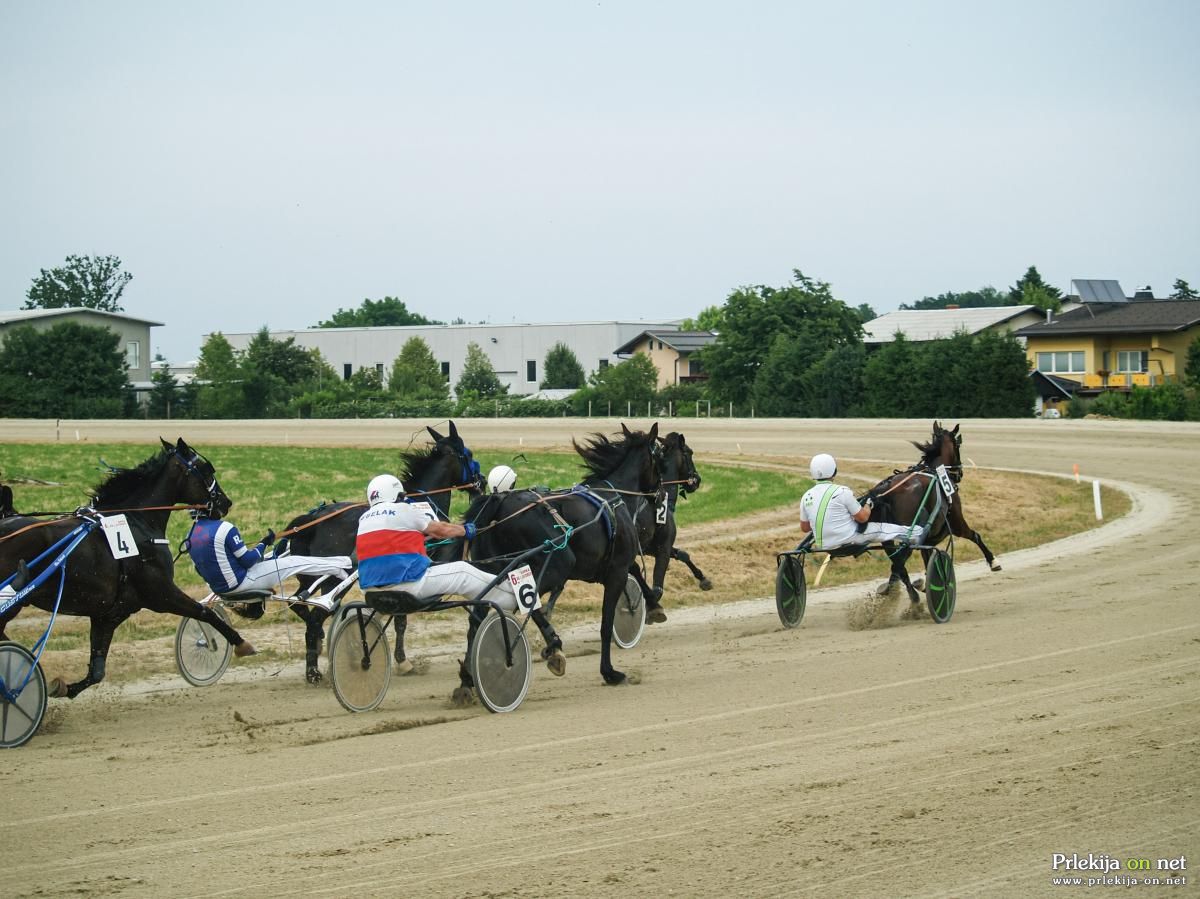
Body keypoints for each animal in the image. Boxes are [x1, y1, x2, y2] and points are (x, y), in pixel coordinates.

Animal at [0, 438, 254, 698]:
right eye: (206, 470)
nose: (225, 502)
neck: (136, 523)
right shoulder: (162, 595)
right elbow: (205, 612)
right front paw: (239, 643)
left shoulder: (109, 614)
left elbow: (96, 671)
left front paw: (63, 688)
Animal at [279, 422, 485, 684]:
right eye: (468, 454)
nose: (482, 481)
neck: (421, 502)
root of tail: (313, 520)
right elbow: (401, 619)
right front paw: (403, 661)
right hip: (334, 580)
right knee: (315, 616)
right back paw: (313, 669)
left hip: (310, 577)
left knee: (298, 604)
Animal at [464, 423, 662, 686]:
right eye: (660, 454)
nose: (659, 493)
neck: (612, 498)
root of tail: (500, 503)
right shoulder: (616, 571)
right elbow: (606, 623)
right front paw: (609, 671)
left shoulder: (607, 566)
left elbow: (636, 571)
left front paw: (653, 604)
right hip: (557, 565)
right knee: (524, 602)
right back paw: (546, 646)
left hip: (492, 568)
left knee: (479, 615)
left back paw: (467, 677)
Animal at [629, 430, 711, 624]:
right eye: (690, 452)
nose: (697, 479)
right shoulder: (663, 546)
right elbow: (657, 586)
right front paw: (652, 608)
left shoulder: (651, 547)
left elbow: (683, 554)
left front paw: (703, 578)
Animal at [869, 421, 1001, 603]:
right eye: (958, 444)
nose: (959, 473)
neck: (935, 472)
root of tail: (887, 490)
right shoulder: (957, 524)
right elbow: (975, 536)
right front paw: (993, 561)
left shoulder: (926, 538)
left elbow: (923, 557)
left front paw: (922, 584)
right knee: (900, 561)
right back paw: (913, 597)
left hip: (889, 536)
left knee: (898, 563)